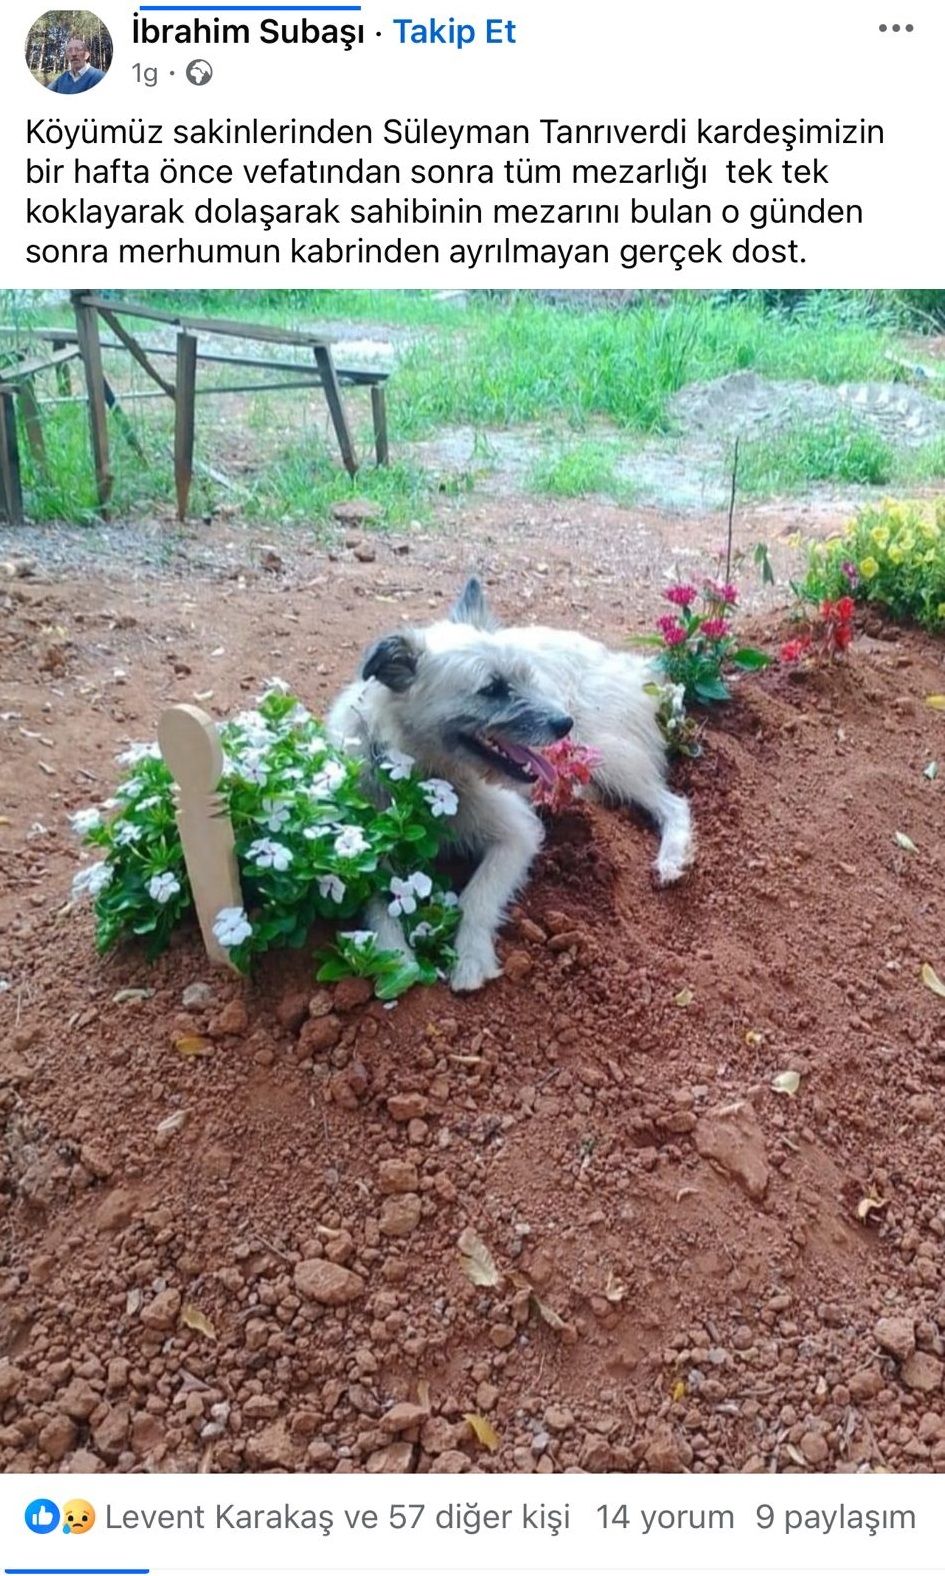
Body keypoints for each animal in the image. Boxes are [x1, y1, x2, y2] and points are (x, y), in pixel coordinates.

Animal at [326, 579, 693, 989]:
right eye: (491, 689)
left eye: (526, 676)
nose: (564, 723)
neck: (426, 777)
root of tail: (631, 665)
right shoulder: (364, 851)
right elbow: (379, 903)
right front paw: (397, 960)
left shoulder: (518, 835)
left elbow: (476, 897)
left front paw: (471, 958)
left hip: (610, 755)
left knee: (673, 803)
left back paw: (670, 858)